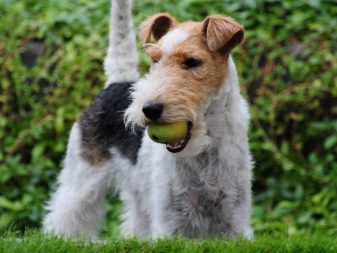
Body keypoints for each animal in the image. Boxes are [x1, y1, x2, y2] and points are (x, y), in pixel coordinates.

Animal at [42, 0, 252, 239]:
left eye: (192, 62)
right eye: (154, 59)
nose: (149, 109)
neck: (203, 151)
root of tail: (116, 82)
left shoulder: (235, 220)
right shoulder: (169, 222)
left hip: (137, 194)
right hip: (82, 176)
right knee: (63, 213)